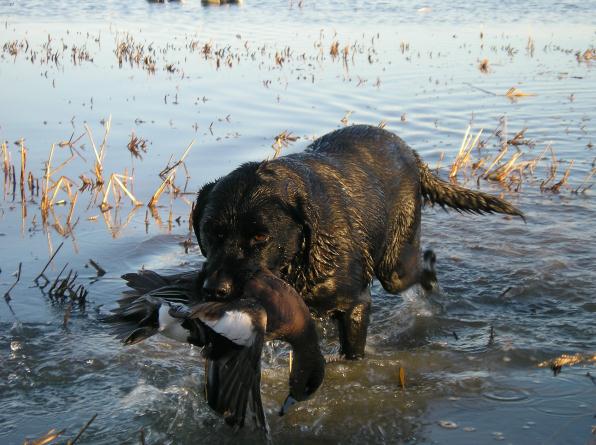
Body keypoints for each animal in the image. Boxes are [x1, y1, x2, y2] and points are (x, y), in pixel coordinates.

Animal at [192, 124, 520, 358]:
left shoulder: (356, 305)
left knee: (421, 268)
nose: (216, 290)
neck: (302, 257)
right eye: (210, 232)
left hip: (394, 268)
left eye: (261, 237)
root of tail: (411, 153)